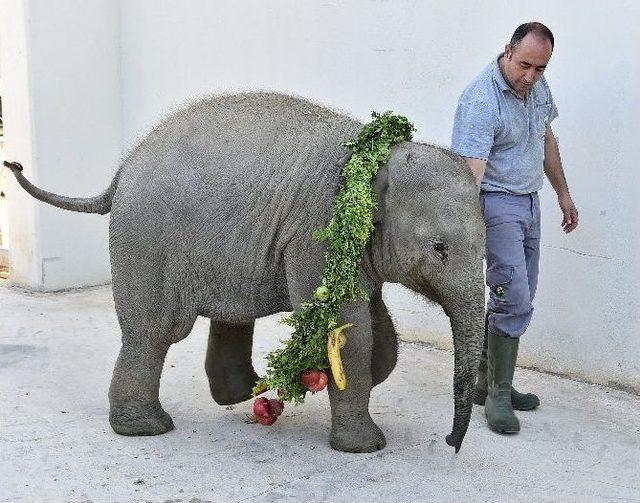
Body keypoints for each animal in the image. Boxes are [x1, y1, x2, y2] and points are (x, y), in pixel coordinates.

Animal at [3, 92, 484, 454]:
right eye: (440, 249)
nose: (450, 442)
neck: (373, 159)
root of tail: (119, 176)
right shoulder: (316, 232)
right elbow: (350, 329)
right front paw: (366, 447)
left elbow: (371, 319)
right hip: (145, 241)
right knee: (154, 332)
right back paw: (147, 429)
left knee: (230, 316)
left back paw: (241, 394)